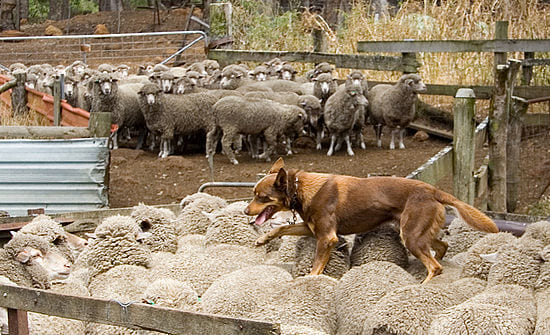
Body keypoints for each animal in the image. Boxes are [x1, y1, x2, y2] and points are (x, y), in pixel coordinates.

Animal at [246, 158, 500, 284]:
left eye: (261, 197)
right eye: (253, 193)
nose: (247, 212)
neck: (299, 188)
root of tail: (433, 190)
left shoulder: (327, 237)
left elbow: (317, 266)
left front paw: (310, 280)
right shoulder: (313, 229)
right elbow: (282, 228)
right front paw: (263, 240)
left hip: (411, 236)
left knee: (434, 266)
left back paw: (421, 287)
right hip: (416, 232)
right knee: (442, 246)